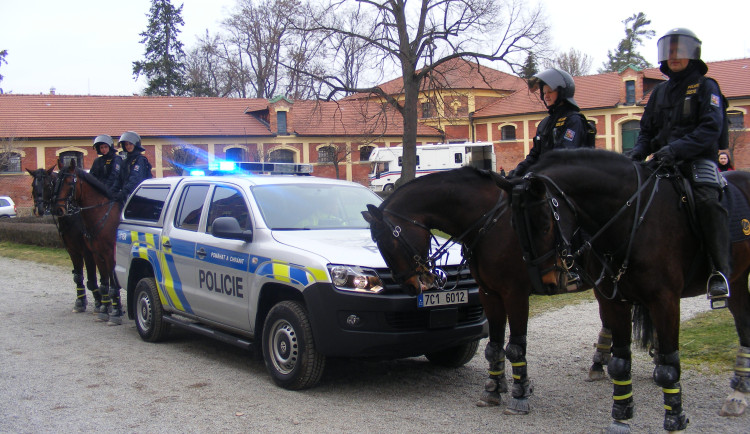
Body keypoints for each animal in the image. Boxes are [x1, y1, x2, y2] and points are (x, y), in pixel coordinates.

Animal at [26, 165, 104, 312]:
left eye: (47, 185)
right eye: (33, 185)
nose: (39, 210)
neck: (73, 217)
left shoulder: (88, 252)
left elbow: (92, 279)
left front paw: (99, 302)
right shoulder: (73, 251)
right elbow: (78, 276)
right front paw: (80, 302)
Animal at [53, 159, 123, 326]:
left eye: (69, 183)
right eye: (56, 182)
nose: (58, 209)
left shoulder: (109, 255)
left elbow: (113, 284)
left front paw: (115, 312)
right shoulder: (95, 254)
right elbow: (103, 284)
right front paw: (104, 310)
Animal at [512, 148, 750, 430]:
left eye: (545, 224)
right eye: (516, 228)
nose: (545, 281)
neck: (631, 217)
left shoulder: (665, 301)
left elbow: (669, 367)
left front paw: (675, 420)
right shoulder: (614, 300)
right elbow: (620, 362)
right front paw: (620, 417)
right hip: (738, 280)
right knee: (745, 326)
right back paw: (739, 390)